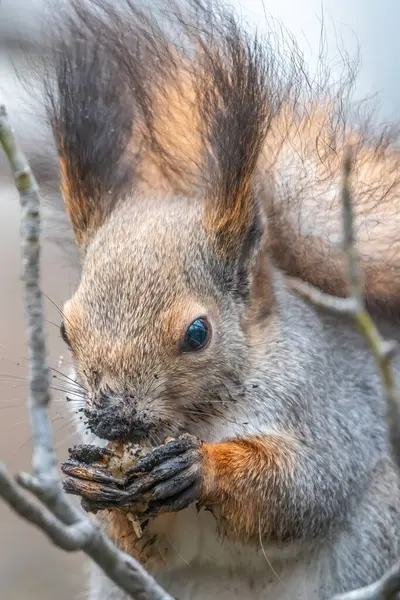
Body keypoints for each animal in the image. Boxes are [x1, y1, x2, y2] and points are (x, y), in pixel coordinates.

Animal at [37, 0, 400, 596]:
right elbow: (152, 545)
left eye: (197, 334)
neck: (198, 417)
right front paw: (95, 483)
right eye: (66, 329)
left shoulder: (331, 411)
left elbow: (303, 487)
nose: (111, 420)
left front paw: (202, 467)